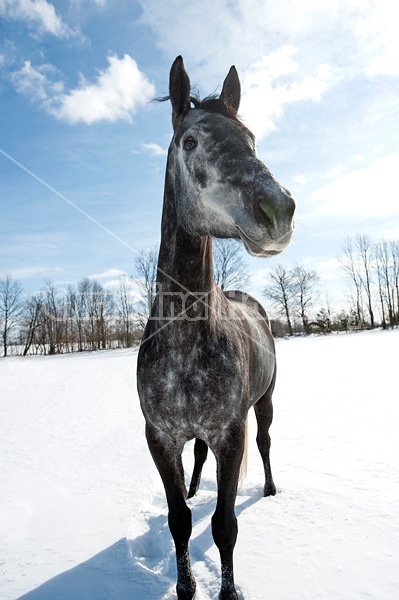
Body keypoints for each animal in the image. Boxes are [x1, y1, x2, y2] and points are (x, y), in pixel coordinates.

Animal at [138, 57, 296, 600]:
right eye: (189, 141)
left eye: (251, 138)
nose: (279, 210)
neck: (185, 348)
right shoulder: (159, 438)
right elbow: (179, 522)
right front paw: (185, 587)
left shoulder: (232, 433)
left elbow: (224, 526)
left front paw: (228, 591)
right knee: (198, 462)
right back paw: (193, 486)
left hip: (264, 405)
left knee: (266, 444)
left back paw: (269, 487)